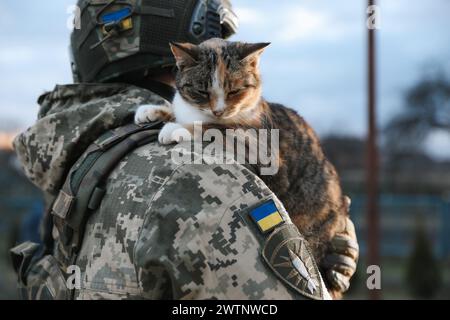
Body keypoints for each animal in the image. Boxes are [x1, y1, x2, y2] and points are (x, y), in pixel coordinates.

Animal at [135, 38, 350, 298]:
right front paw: (152, 110)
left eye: (234, 91)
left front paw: (175, 128)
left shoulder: (260, 146)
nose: (218, 110)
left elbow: (213, 128)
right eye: (201, 91)